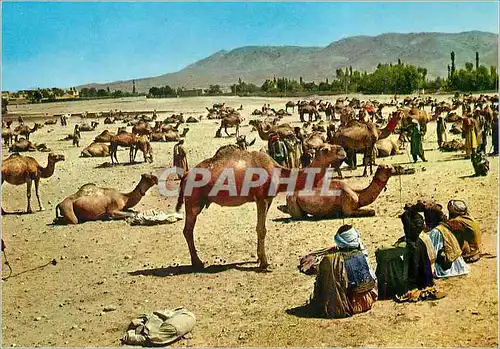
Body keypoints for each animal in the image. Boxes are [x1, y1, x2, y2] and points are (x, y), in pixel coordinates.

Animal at [177, 143, 348, 270]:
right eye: (325, 149)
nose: (342, 151)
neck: (278, 173)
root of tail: (185, 175)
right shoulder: (261, 198)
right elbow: (261, 229)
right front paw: (265, 263)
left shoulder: (268, 199)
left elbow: (261, 228)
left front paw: (259, 258)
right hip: (193, 201)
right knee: (187, 230)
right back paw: (198, 263)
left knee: (187, 230)